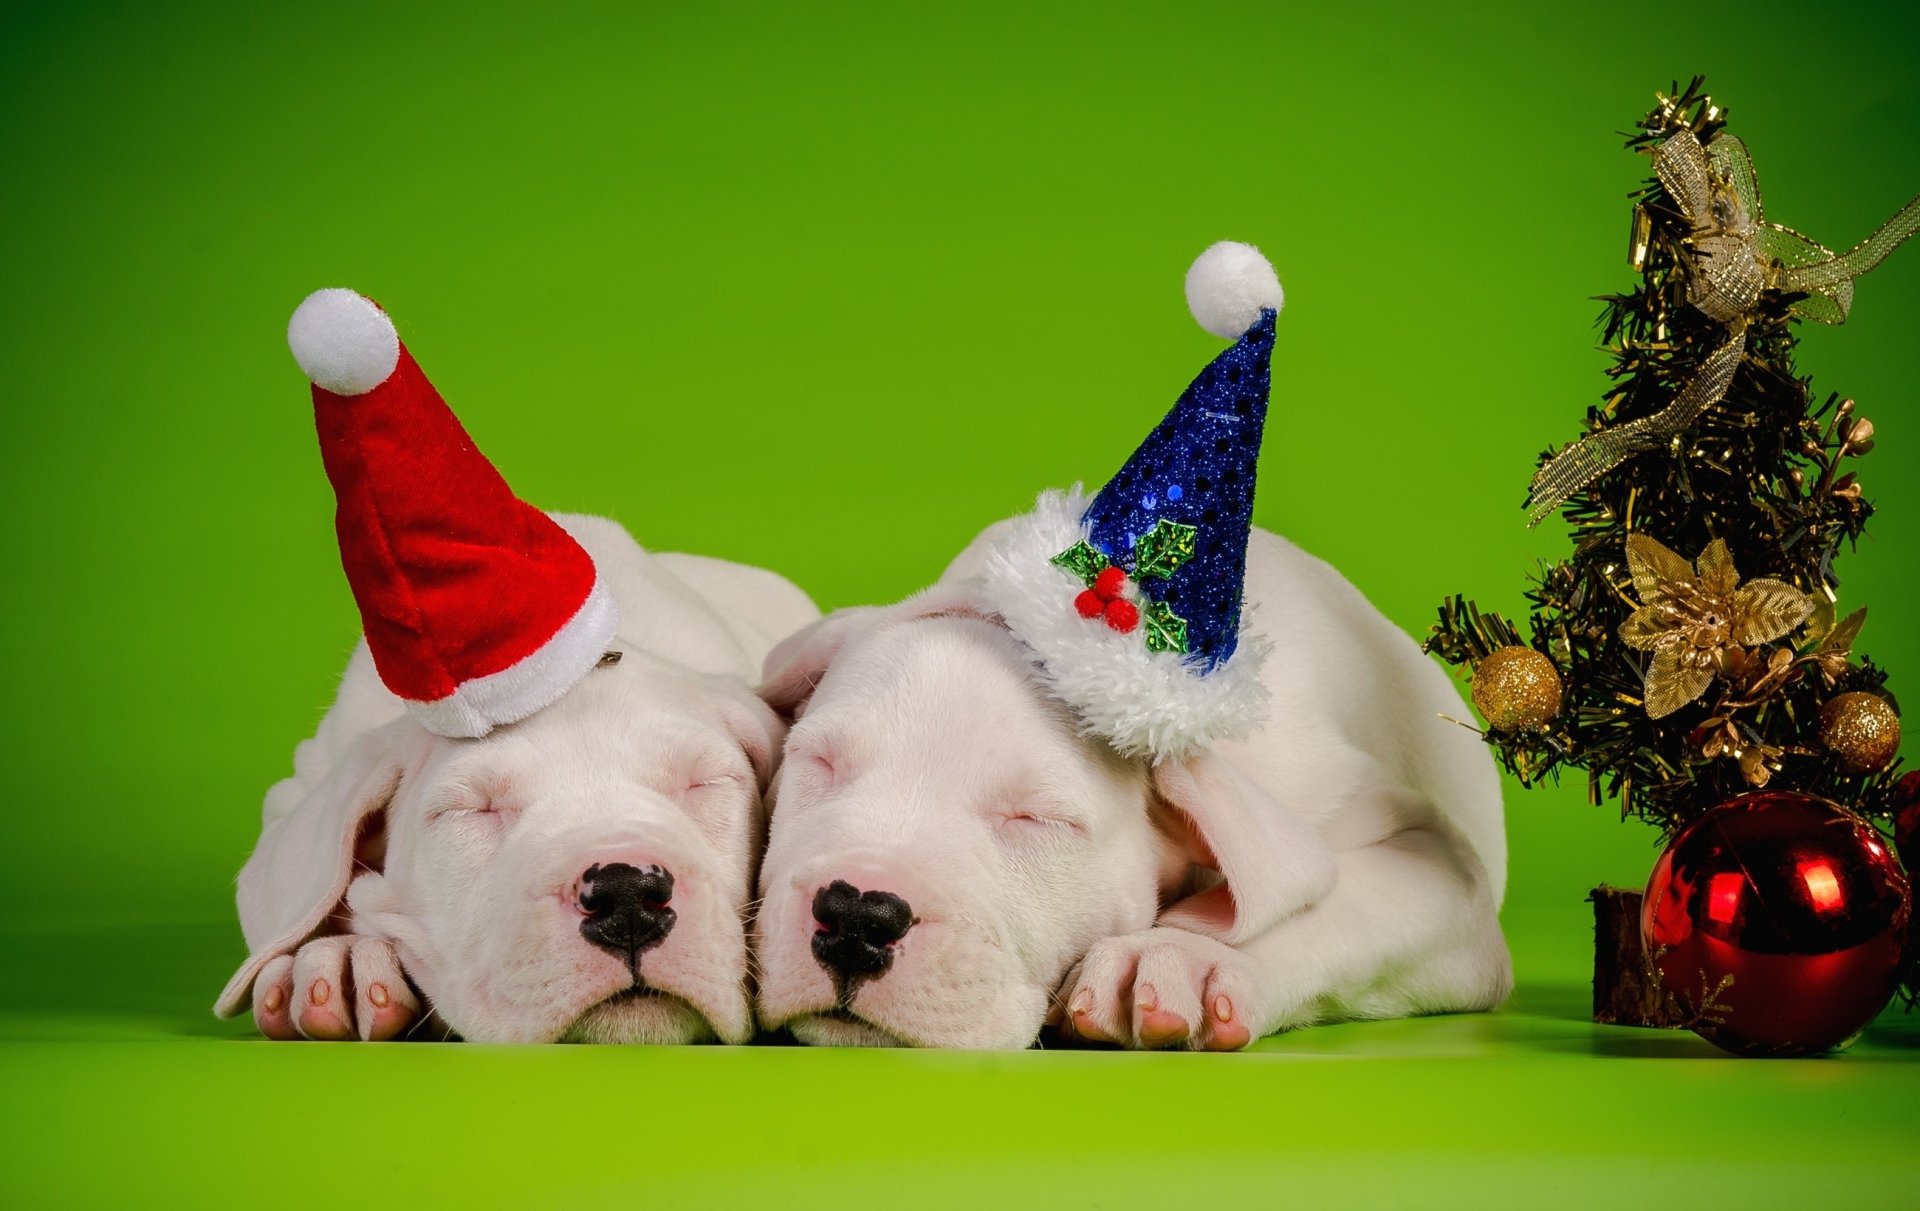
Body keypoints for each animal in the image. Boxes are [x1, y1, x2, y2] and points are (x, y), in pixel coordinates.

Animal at [748, 243, 1512, 1051]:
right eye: (819, 764)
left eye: (1037, 820)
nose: (857, 913)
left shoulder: (1437, 865)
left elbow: (1332, 904)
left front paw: (1183, 956)